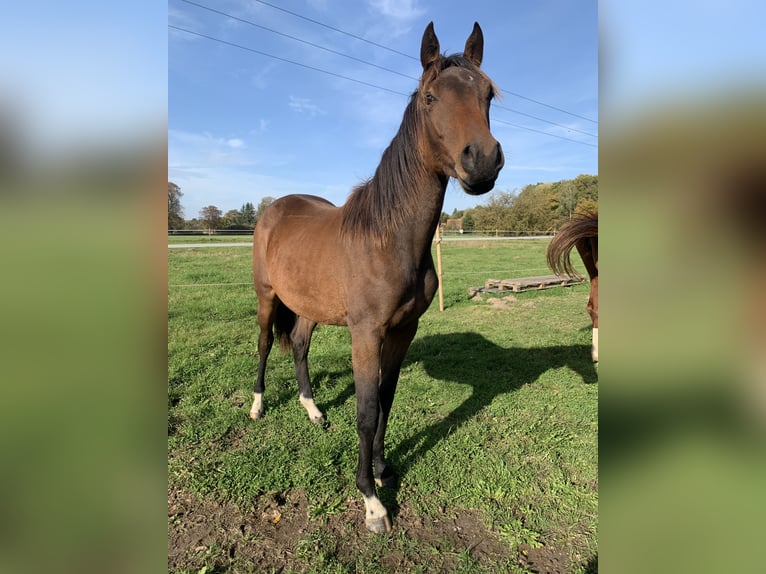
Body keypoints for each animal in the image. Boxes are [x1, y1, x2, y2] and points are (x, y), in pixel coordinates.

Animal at [249, 22, 508, 536]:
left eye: (488, 94)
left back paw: (313, 410)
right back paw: (257, 405)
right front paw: (371, 501)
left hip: (309, 307)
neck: (389, 238)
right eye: (430, 97)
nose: (483, 162)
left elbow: (387, 398)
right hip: (267, 297)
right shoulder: (366, 333)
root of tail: (275, 207)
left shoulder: (404, 329)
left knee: (300, 346)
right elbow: (367, 411)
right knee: (267, 343)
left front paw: (386, 469)